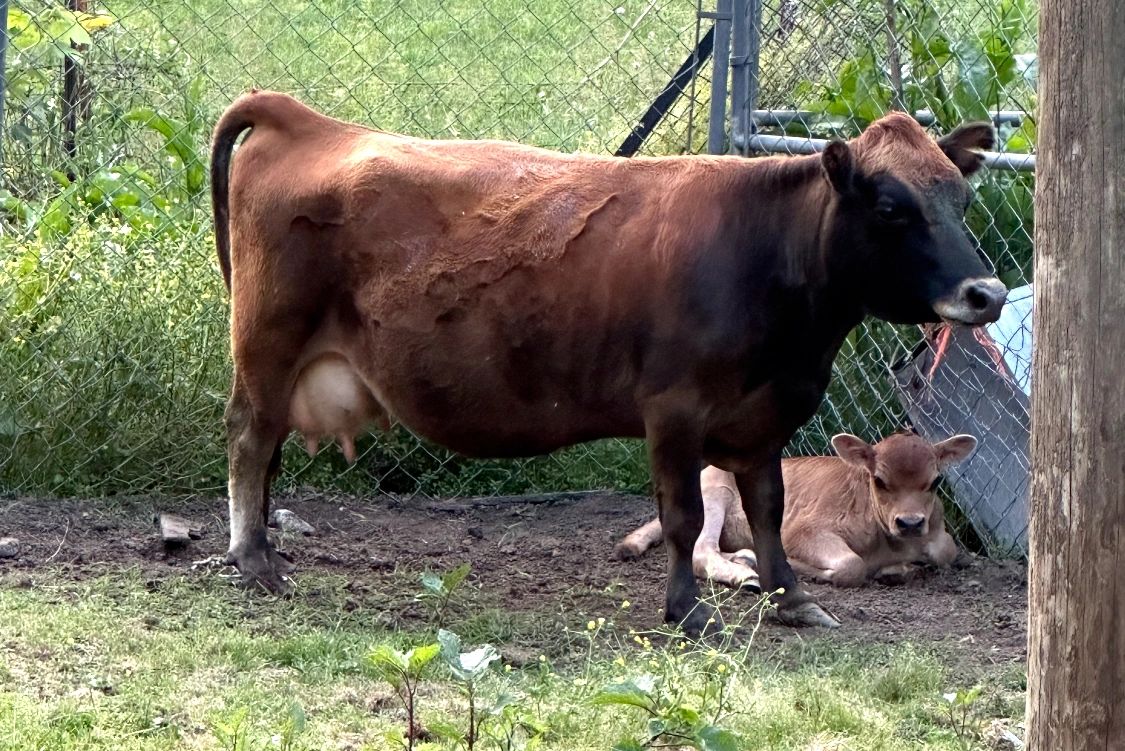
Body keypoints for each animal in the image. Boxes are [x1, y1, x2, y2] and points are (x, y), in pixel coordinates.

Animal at [614, 431, 977, 590]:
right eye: (879, 480)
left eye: (935, 481)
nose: (910, 522)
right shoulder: (802, 530)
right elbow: (852, 566)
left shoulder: (940, 539)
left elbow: (946, 552)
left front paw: (896, 570)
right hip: (714, 493)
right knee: (701, 551)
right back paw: (746, 573)